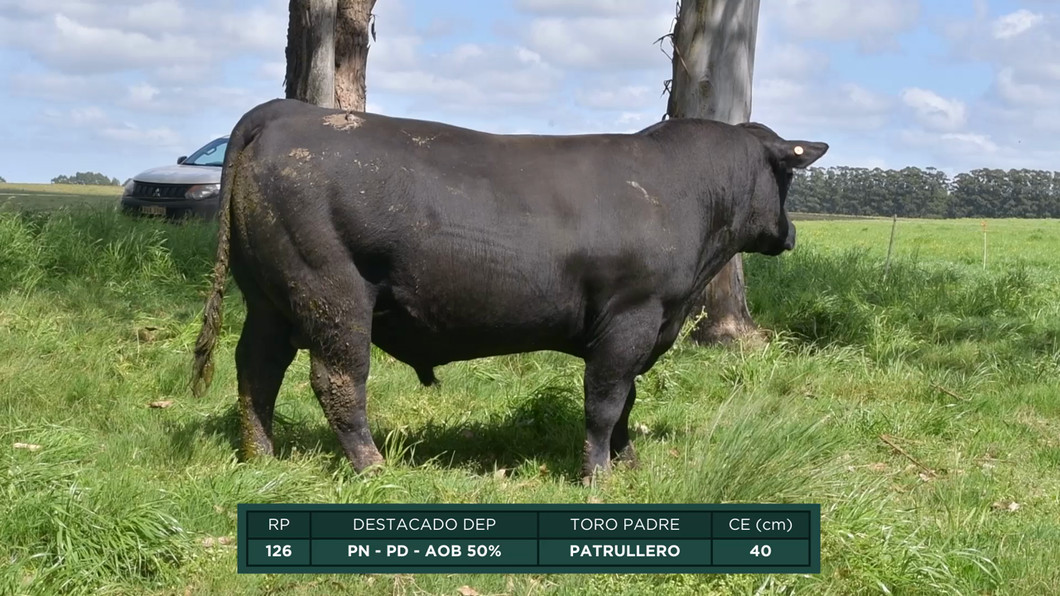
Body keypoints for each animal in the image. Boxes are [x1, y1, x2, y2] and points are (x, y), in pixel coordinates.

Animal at [192, 97, 826, 483]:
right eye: (786, 175)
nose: (792, 233)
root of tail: (290, 112)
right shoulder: (632, 316)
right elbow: (605, 400)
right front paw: (597, 473)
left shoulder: (648, 326)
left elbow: (627, 402)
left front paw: (629, 464)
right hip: (331, 293)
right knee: (337, 379)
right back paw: (373, 467)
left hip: (269, 301)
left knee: (256, 368)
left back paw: (261, 456)